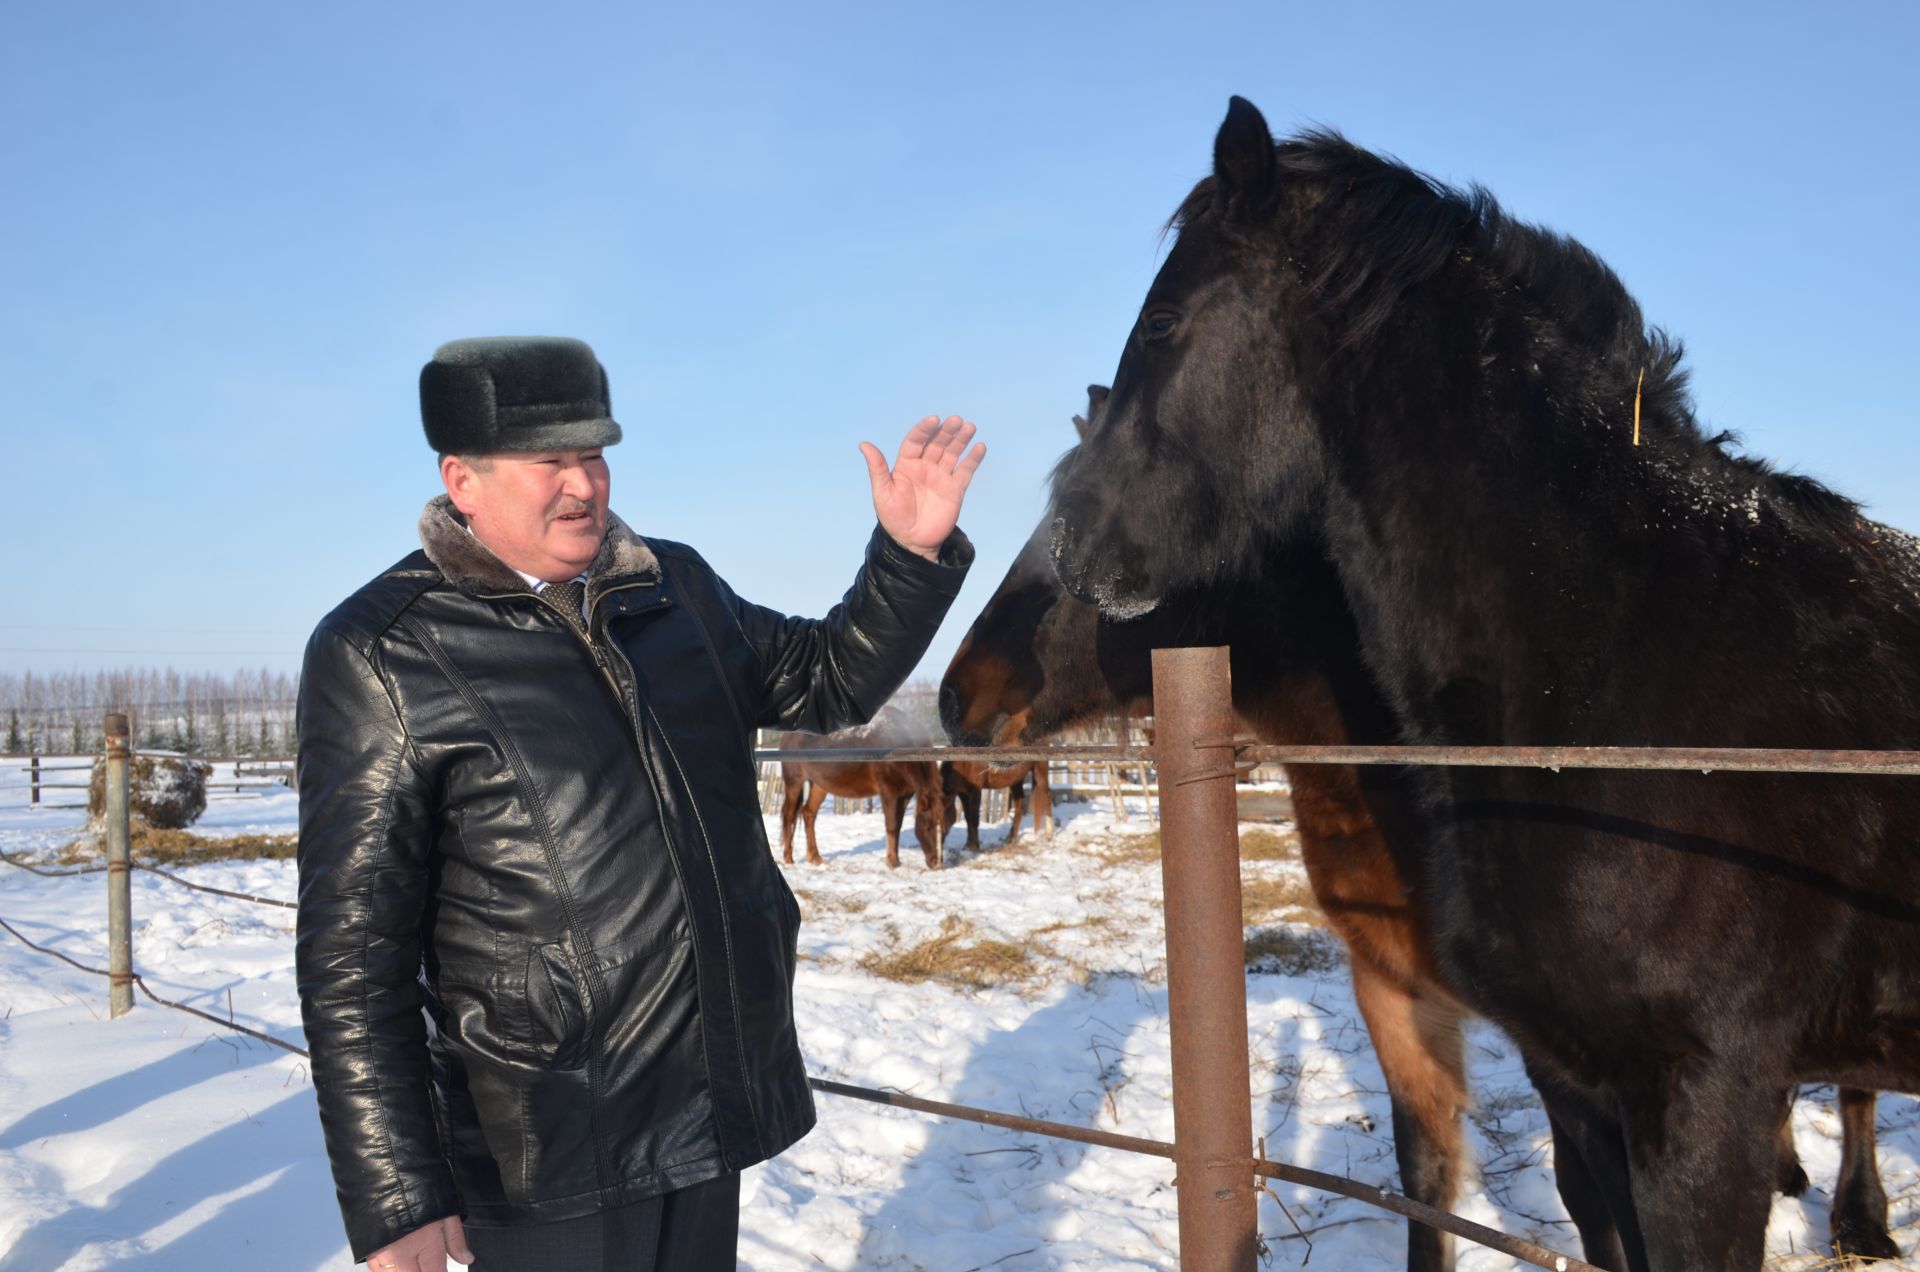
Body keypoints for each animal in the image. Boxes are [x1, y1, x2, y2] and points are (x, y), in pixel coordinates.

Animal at [775, 722, 948, 872]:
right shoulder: (888, 792)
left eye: (946, 828)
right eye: (927, 826)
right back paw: (788, 859)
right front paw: (892, 862)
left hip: (820, 785)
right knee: (789, 815)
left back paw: (815, 857)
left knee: (809, 813)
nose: (937, 864)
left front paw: (896, 861)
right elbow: (891, 825)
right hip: (794, 782)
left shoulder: (904, 795)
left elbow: (898, 826)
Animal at [936, 393, 1896, 1268]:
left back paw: (1863, 1219)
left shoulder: (1568, 1049)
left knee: (1854, 1090)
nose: (955, 699)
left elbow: (1594, 1205)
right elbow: (1430, 1179)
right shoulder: (1394, 989)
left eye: (1072, 538)